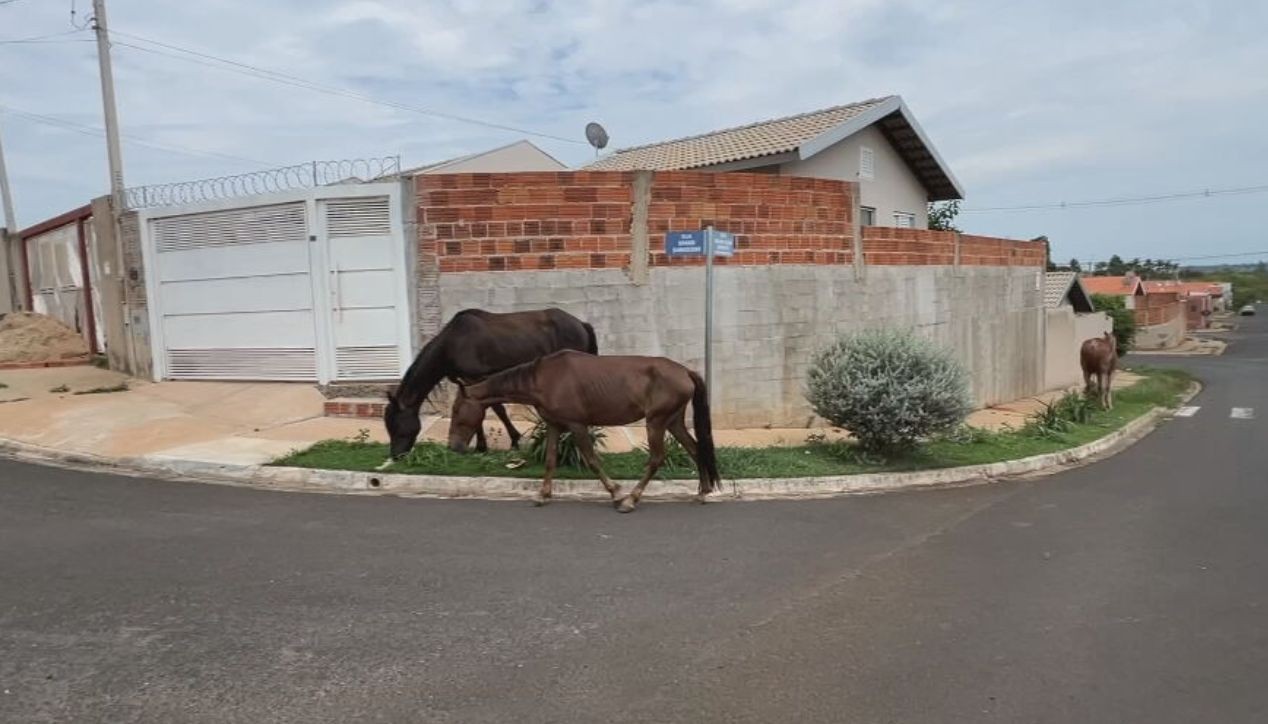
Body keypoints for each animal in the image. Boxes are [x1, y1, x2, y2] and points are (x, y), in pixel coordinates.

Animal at [382, 310, 595, 458]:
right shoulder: (465, 381)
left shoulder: (477, 378)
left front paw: (510, 441)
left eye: (396, 424)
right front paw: (481, 445)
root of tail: (581, 324)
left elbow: (495, 408)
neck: (452, 344)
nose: (396, 455)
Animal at [451, 349, 720, 509]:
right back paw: (703, 491)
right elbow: (550, 459)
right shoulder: (554, 425)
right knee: (695, 449)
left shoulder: (577, 426)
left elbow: (592, 460)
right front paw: (543, 494)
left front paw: (616, 493)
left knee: (656, 459)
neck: (543, 379)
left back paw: (631, 499)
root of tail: (685, 371)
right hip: (672, 421)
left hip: (656, 422)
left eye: (456, 411)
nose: (454, 446)